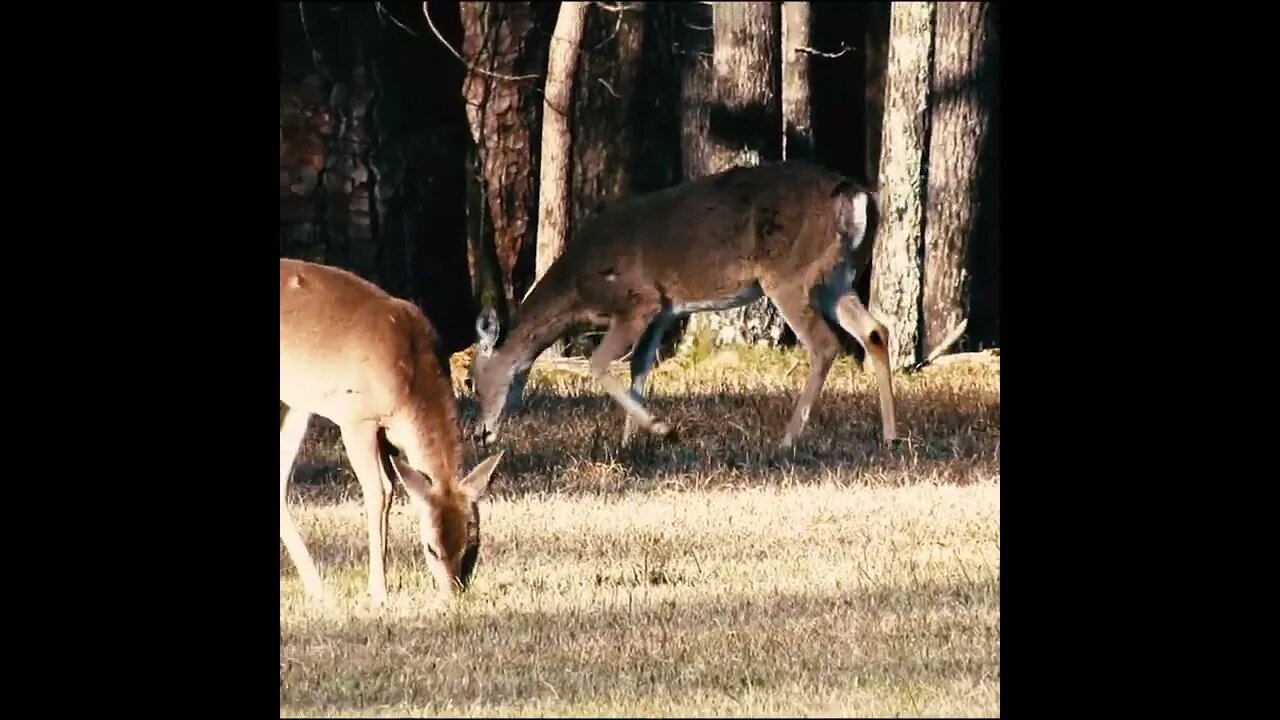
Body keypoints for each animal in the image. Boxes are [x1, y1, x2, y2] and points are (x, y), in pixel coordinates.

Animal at [280, 258, 504, 608]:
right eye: (430, 547)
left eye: (473, 541)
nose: (453, 594)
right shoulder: (357, 417)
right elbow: (381, 491)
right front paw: (378, 593)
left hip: (296, 401)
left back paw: (319, 590)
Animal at [468, 159, 899, 451]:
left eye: (472, 380)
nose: (480, 433)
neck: (579, 288)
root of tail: (856, 195)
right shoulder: (663, 311)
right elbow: (640, 370)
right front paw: (631, 442)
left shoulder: (638, 301)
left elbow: (600, 364)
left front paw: (663, 429)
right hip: (837, 275)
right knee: (875, 330)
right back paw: (890, 435)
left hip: (790, 273)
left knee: (825, 344)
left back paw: (788, 439)